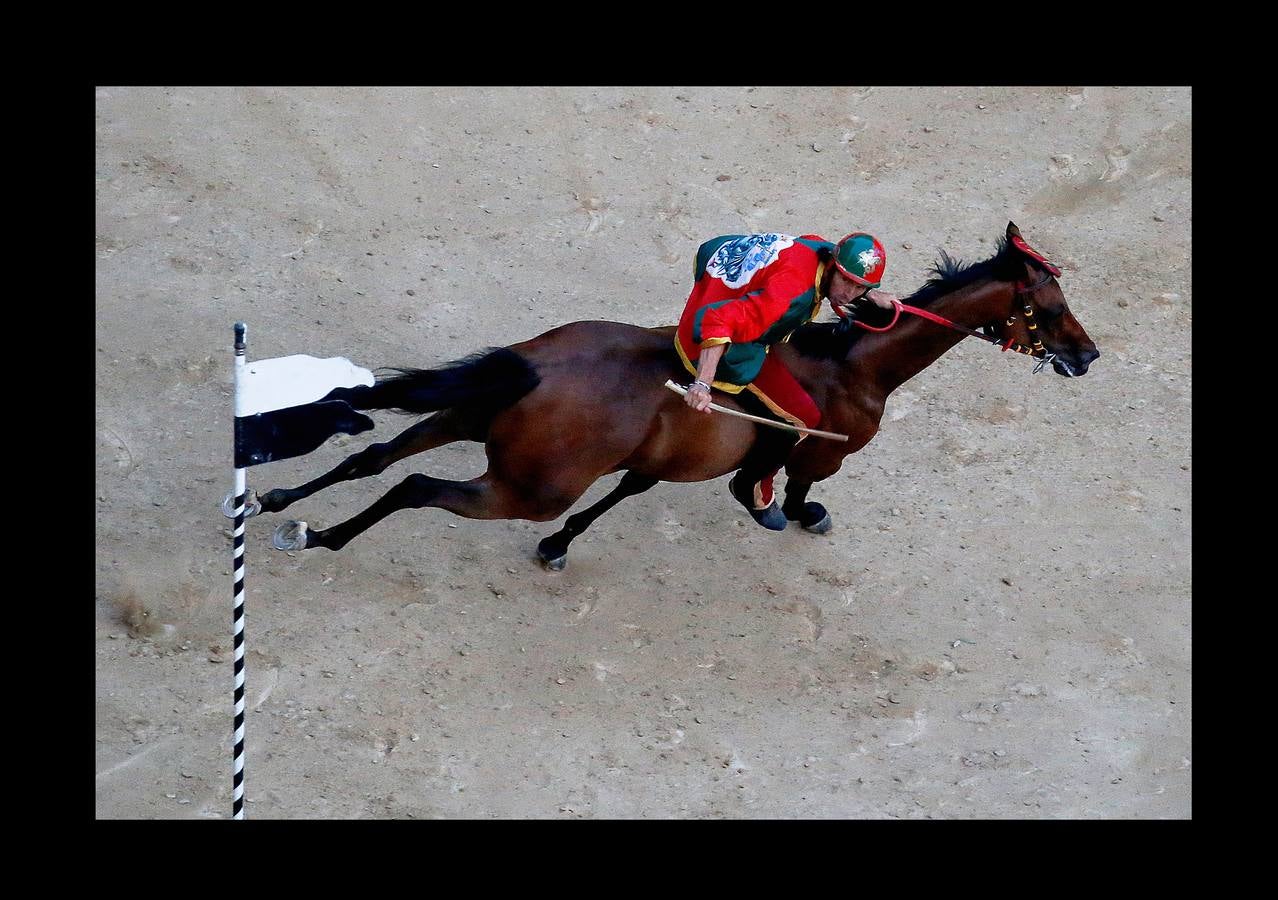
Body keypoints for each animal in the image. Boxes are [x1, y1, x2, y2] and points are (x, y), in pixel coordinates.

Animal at [249, 221, 1099, 565]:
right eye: (1052, 306)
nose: (1089, 355)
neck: (859, 367)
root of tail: (541, 365)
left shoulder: (660, 459)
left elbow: (626, 493)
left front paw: (561, 550)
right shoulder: (819, 452)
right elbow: (793, 485)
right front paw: (790, 514)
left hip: (470, 417)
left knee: (379, 457)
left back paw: (276, 503)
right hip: (527, 486)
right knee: (417, 486)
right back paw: (319, 538)